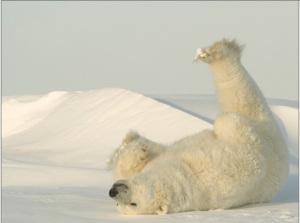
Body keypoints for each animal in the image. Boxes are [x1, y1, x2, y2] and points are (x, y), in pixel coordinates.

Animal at [107, 39, 288, 215]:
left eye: (133, 203)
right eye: (121, 204)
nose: (113, 191)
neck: (187, 175)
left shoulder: (223, 168)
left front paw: (135, 147)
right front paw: (133, 147)